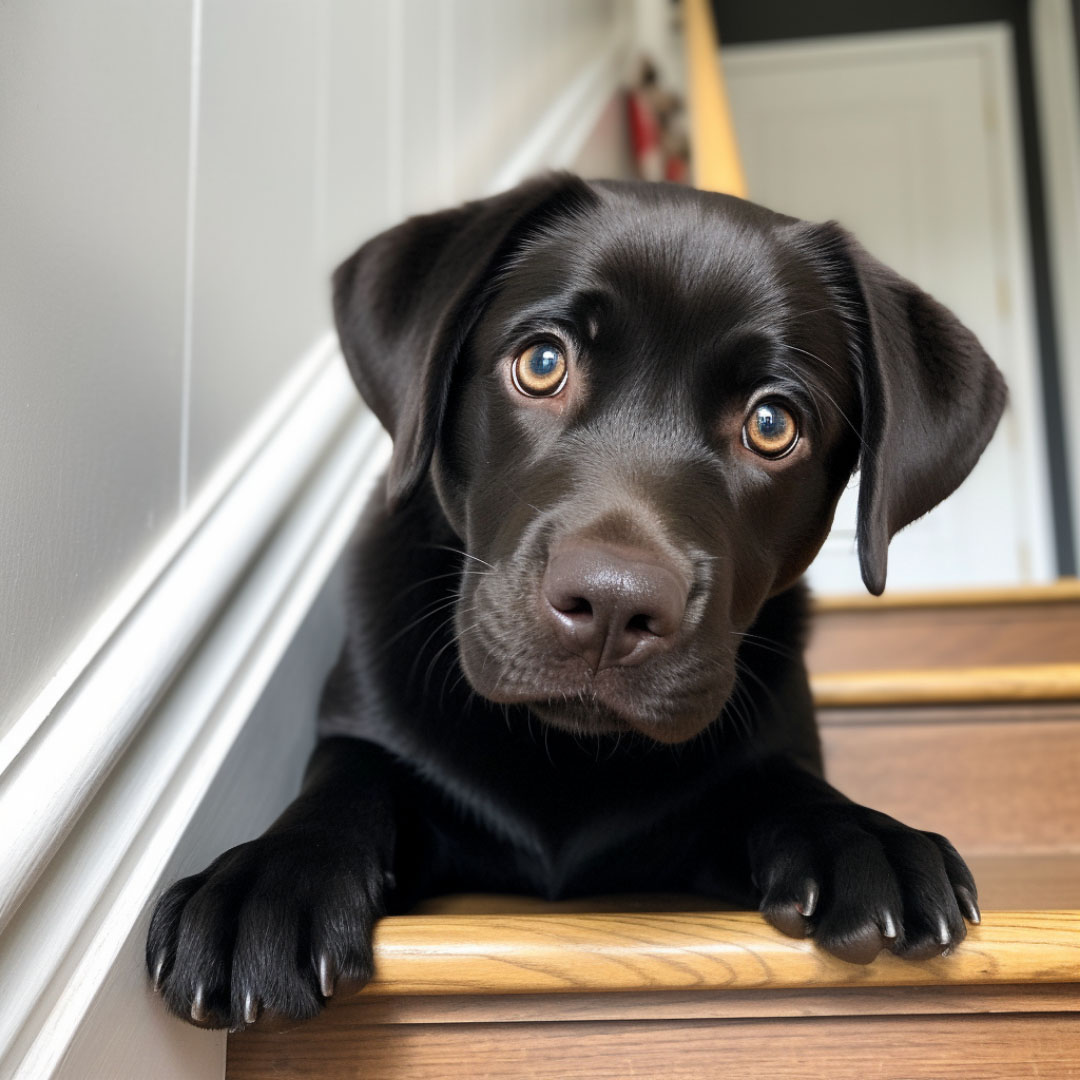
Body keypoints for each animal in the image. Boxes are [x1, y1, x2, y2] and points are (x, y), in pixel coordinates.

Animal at [143, 174, 1002, 1028]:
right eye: (542, 363)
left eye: (771, 423)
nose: (614, 606)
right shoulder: (364, 734)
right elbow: (343, 784)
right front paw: (267, 880)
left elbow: (780, 781)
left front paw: (862, 836)